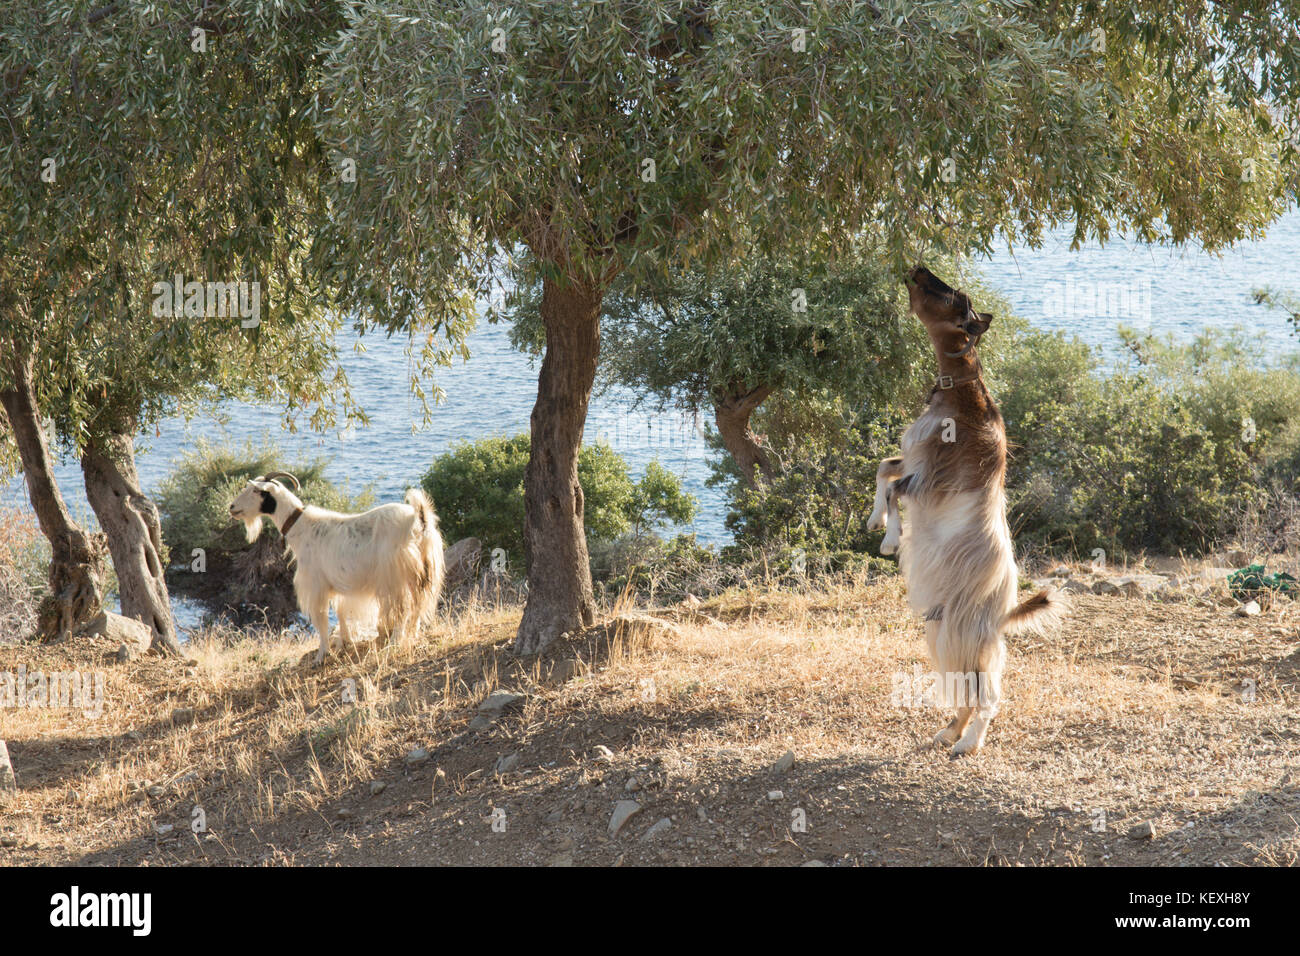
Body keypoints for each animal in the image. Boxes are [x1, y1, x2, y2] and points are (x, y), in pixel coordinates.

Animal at [226, 476, 444, 671]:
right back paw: (411, 637)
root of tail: (418, 520)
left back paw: (394, 644)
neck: (301, 527)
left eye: (256, 490)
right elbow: (340, 612)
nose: (232, 507)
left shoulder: (316, 586)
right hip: (422, 575)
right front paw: (344, 643)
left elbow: (321, 620)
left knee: (403, 609)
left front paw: (321, 656)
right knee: (417, 606)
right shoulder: (338, 584)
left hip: (394, 577)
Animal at [863, 265, 1066, 759]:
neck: (963, 396)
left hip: (967, 633)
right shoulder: (914, 460)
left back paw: (969, 743)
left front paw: (890, 539)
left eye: (955, 296)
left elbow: (895, 486)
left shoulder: (930, 477)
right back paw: (949, 733)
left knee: (987, 693)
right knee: (965, 690)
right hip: (943, 633)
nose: (918, 270)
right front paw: (875, 521)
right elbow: (884, 469)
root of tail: (1005, 613)